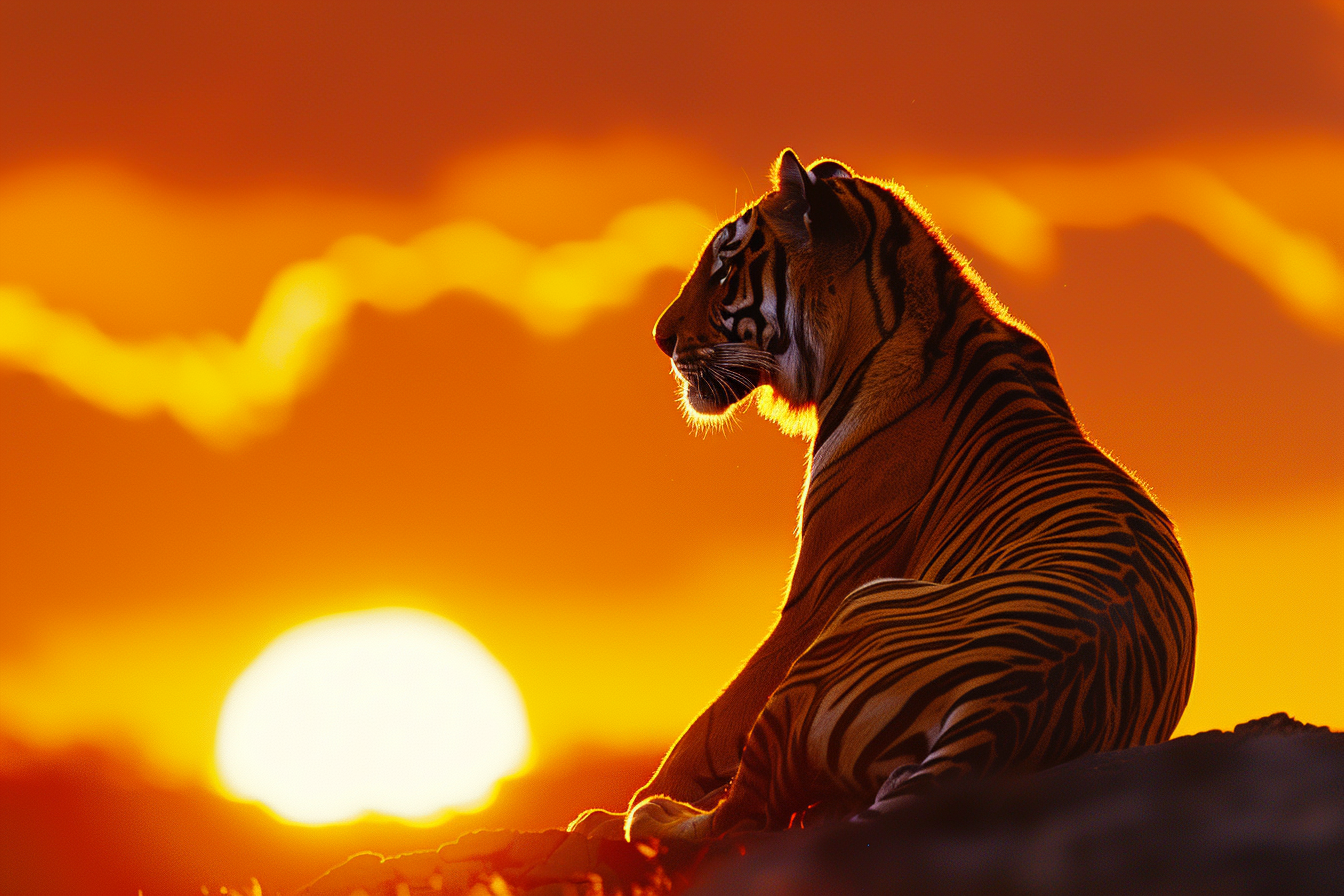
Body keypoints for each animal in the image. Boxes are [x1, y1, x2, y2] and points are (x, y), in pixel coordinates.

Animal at [569, 150, 1196, 842]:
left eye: (726, 269)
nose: (659, 336)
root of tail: (1003, 706)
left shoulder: (820, 589)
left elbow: (715, 721)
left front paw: (622, 807)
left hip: (859, 609)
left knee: (743, 813)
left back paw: (638, 816)